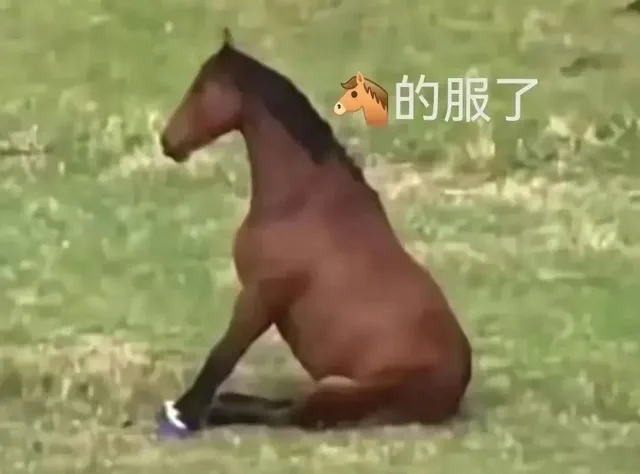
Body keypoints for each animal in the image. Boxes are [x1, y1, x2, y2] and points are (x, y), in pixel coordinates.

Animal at [156, 28, 472, 438]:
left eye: (201, 87)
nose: (168, 142)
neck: (301, 200)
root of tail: (457, 387)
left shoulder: (260, 295)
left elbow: (222, 355)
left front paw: (183, 414)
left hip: (335, 389)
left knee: (289, 414)